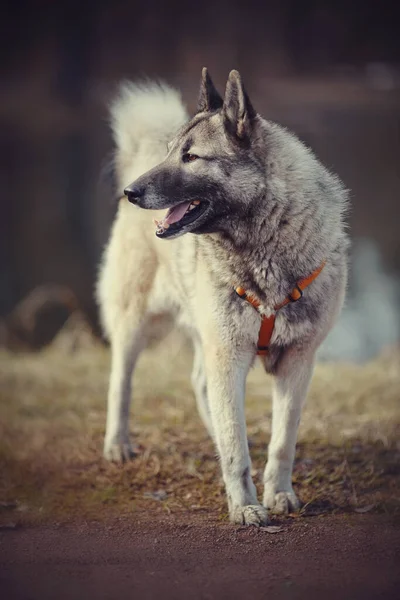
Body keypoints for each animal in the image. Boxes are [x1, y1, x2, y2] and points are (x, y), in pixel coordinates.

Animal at [97, 67, 350, 524]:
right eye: (171, 153)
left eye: (191, 157)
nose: (131, 191)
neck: (264, 245)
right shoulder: (228, 354)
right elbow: (236, 448)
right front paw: (245, 506)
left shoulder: (297, 362)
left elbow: (282, 442)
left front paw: (279, 493)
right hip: (136, 323)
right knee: (120, 383)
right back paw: (118, 444)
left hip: (206, 334)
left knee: (203, 386)